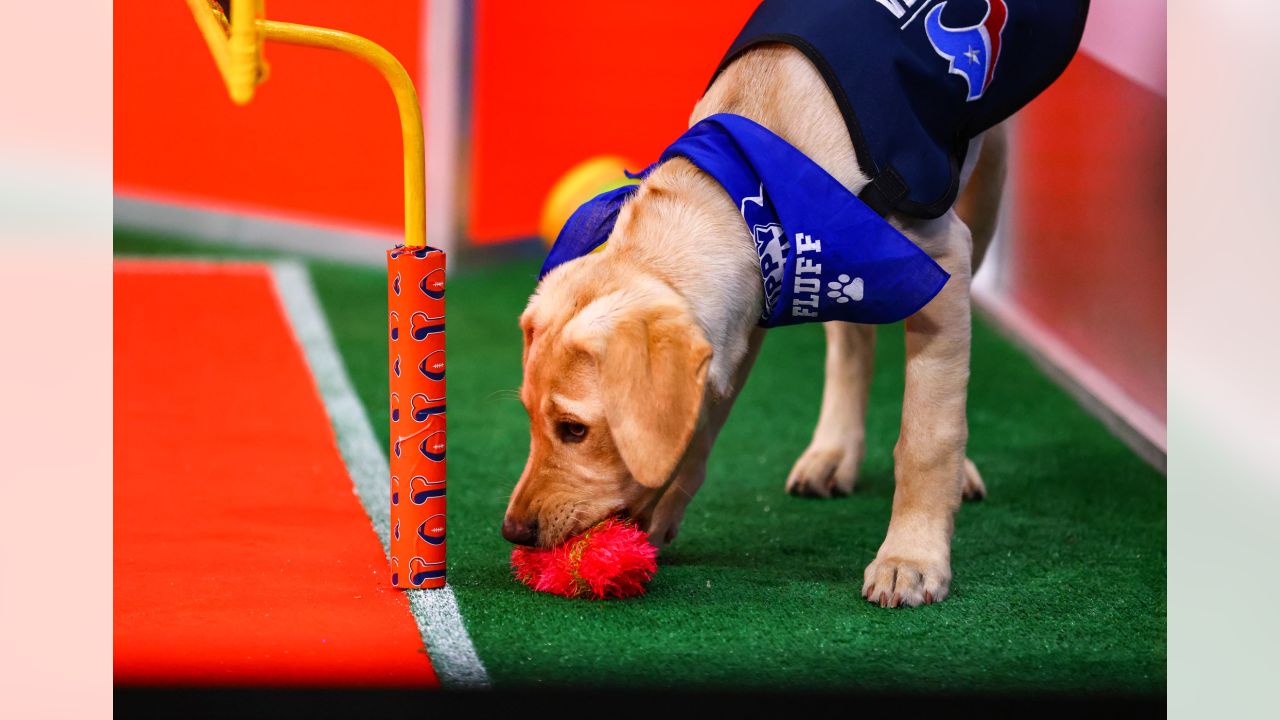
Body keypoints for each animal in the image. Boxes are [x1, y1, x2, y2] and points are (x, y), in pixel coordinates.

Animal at [504, 43, 1003, 604]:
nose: (513, 531)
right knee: (851, 341)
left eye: (574, 429)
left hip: (986, 186)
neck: (753, 178)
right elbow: (699, 427)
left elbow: (927, 435)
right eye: (528, 415)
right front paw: (659, 510)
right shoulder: (751, 309)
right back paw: (833, 453)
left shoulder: (939, 268)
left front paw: (912, 558)